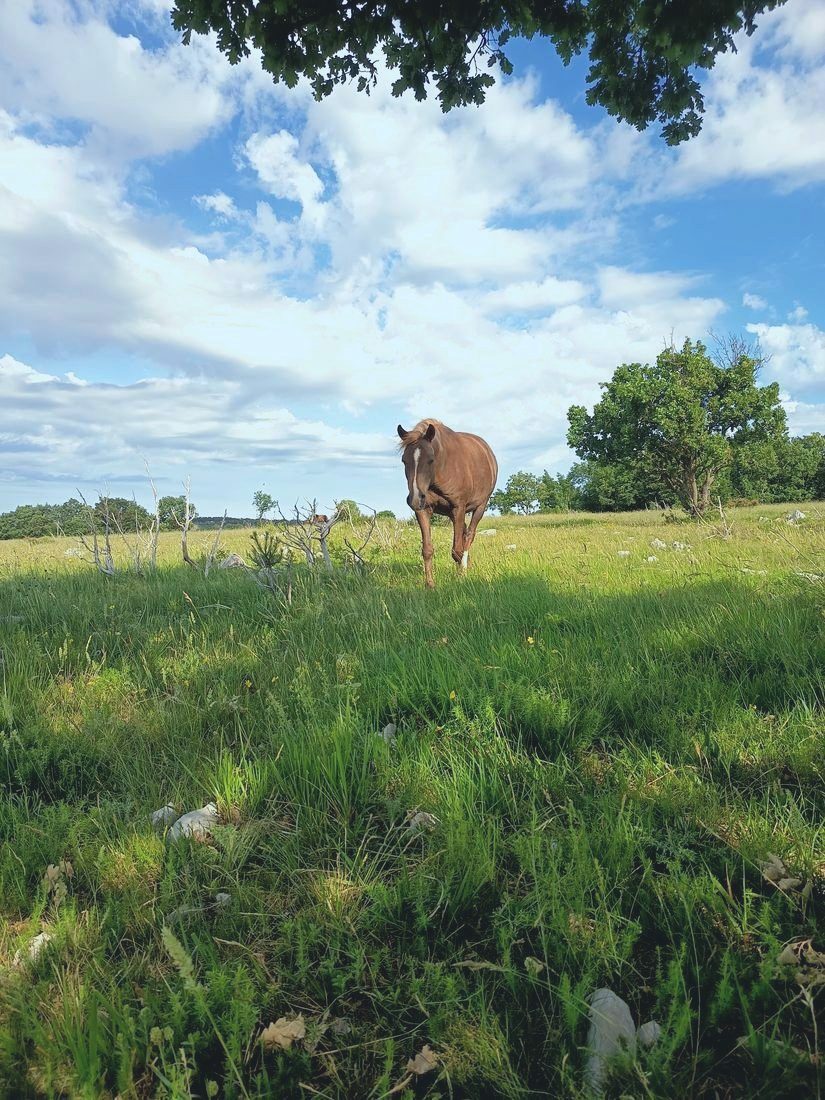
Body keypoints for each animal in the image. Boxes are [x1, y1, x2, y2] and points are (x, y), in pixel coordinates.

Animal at [397, 419, 498, 588]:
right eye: (404, 460)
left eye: (430, 460)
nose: (415, 498)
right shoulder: (424, 510)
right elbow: (427, 549)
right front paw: (430, 585)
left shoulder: (459, 508)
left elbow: (457, 550)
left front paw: (461, 576)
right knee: (464, 534)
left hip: (480, 507)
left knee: (469, 535)